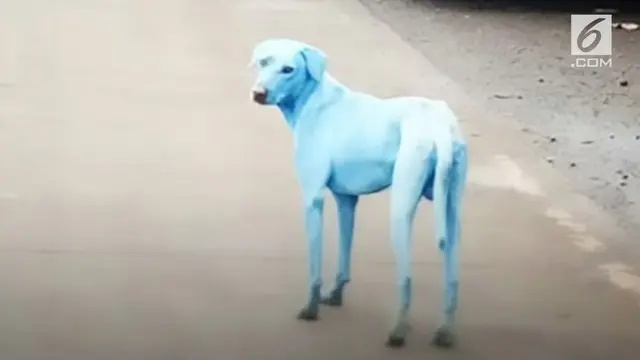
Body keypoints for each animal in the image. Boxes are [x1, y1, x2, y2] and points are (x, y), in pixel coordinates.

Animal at [248, 38, 468, 348]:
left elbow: (314, 268)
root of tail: (441, 128)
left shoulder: (312, 200)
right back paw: (445, 331)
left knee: (406, 279)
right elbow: (344, 253)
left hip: (400, 211)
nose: (258, 94)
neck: (313, 98)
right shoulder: (347, 201)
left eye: (288, 69)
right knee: (452, 278)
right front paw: (336, 294)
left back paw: (398, 330)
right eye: (264, 62)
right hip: (452, 213)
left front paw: (311, 308)